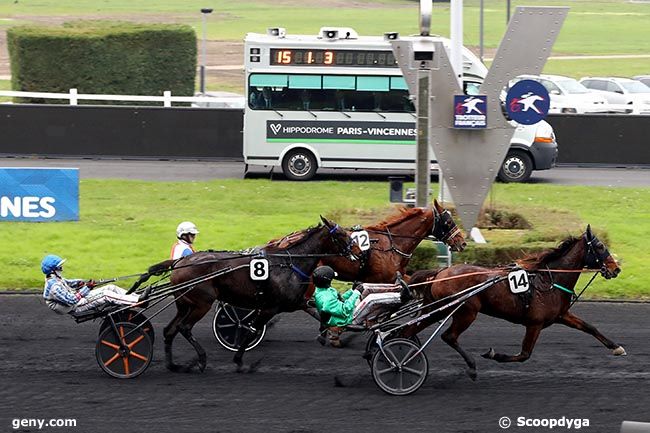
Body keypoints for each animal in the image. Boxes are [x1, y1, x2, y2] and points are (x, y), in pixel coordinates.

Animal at [142, 216, 356, 372]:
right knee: (184, 328)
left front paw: (335, 333)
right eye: (341, 234)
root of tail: (179, 263)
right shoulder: (270, 308)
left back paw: (172, 365)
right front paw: (239, 360)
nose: (358, 252)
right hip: (202, 303)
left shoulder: (294, 302)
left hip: (184, 304)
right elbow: (251, 330)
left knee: (170, 329)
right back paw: (201, 360)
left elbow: (318, 312)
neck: (289, 264)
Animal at [404, 224, 624, 380]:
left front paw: (616, 347)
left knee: (410, 329)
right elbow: (524, 354)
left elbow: (589, 327)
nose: (616, 269)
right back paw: (471, 367)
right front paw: (494, 355)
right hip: (466, 311)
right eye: (600, 246)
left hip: (439, 308)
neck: (550, 281)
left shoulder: (561, 315)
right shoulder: (535, 323)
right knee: (449, 336)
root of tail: (441, 272)